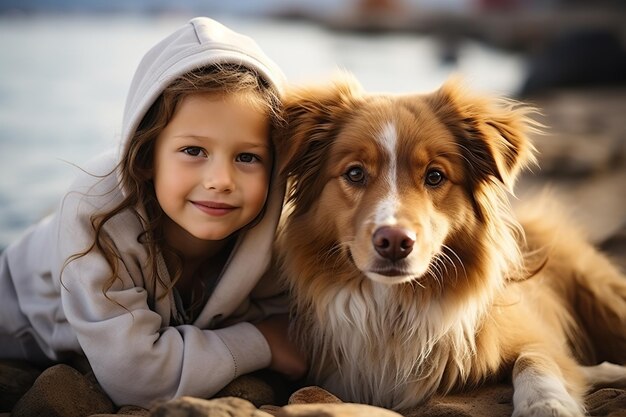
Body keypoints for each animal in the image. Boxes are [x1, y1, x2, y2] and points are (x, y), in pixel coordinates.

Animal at [276, 75, 624, 416]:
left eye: (435, 176)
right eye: (355, 173)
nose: (394, 242)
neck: (394, 309)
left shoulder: (533, 334)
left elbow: (535, 359)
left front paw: (546, 404)